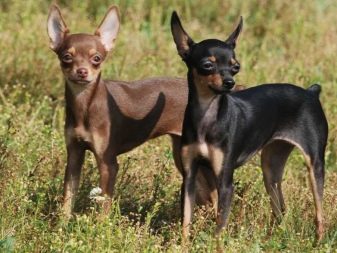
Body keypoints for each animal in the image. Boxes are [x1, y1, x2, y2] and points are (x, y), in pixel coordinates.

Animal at [169, 11, 326, 241]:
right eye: (207, 65)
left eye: (236, 67)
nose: (230, 83)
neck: (208, 115)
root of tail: (311, 92)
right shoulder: (189, 177)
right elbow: (186, 223)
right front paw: (183, 245)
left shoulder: (225, 182)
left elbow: (219, 227)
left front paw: (214, 245)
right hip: (271, 168)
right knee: (281, 210)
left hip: (314, 166)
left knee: (320, 214)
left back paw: (318, 242)